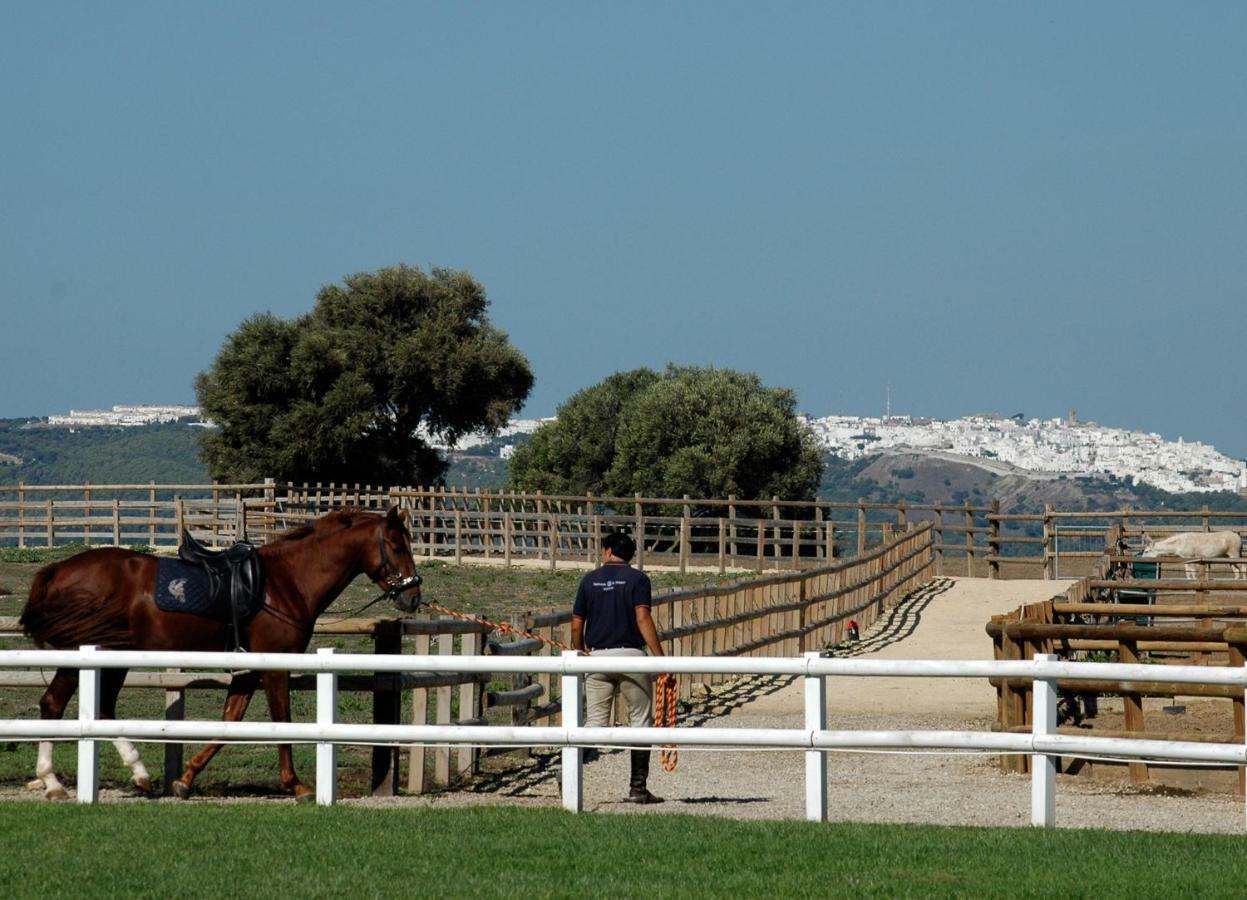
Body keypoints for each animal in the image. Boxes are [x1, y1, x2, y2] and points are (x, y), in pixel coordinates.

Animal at [18, 503, 423, 797]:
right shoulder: (274, 667)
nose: (414, 596)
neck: (286, 582)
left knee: (101, 709)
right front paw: (297, 786)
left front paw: (185, 779)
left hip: (115, 656)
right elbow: (281, 722)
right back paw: (52, 782)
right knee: (53, 705)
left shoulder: (247, 671)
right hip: (84, 655)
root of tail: (58, 570)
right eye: (397, 546)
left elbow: (229, 722)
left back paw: (139, 774)